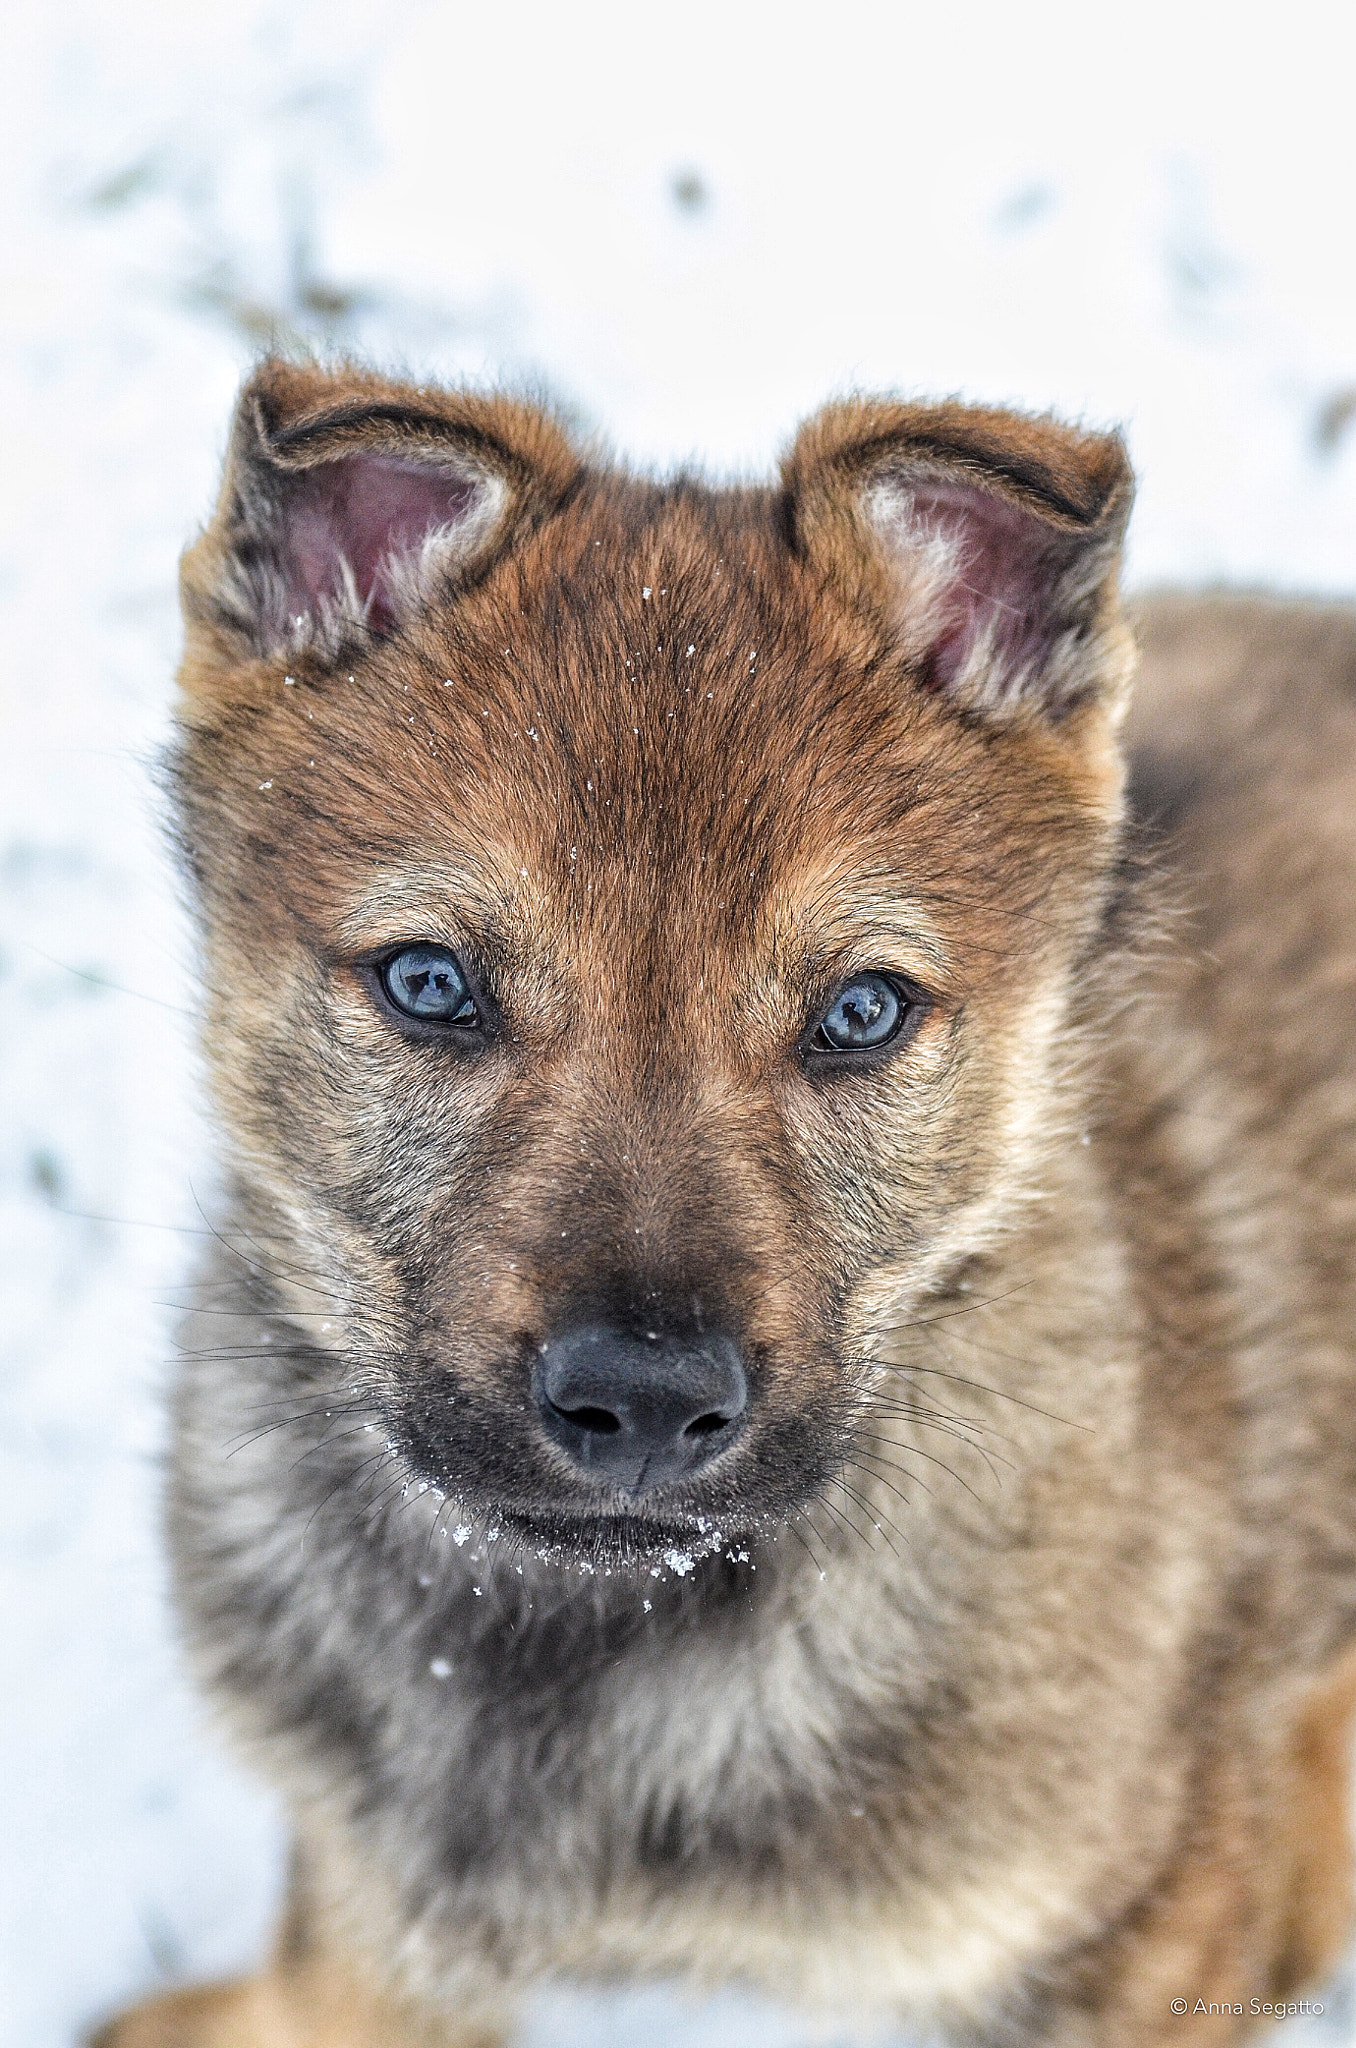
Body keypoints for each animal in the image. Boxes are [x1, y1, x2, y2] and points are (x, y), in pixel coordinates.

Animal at [95, 368, 1356, 2048]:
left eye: (863, 1012)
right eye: (429, 984)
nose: (643, 1402)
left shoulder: (1130, 1933)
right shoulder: (380, 1871)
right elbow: (338, 1971)